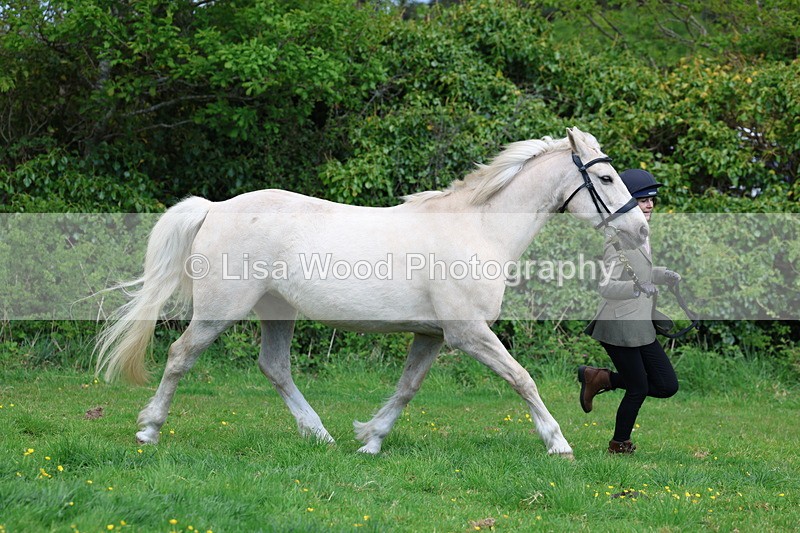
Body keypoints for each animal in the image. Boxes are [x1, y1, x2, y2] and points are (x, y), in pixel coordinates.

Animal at [95, 127, 648, 459]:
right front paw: (558, 443)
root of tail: (215, 207)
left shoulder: (432, 335)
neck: (480, 228)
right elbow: (522, 379)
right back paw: (149, 430)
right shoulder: (468, 333)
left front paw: (370, 440)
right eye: (605, 177)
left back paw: (320, 435)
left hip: (278, 311)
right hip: (218, 311)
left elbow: (406, 388)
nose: (639, 230)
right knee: (179, 356)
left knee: (274, 367)